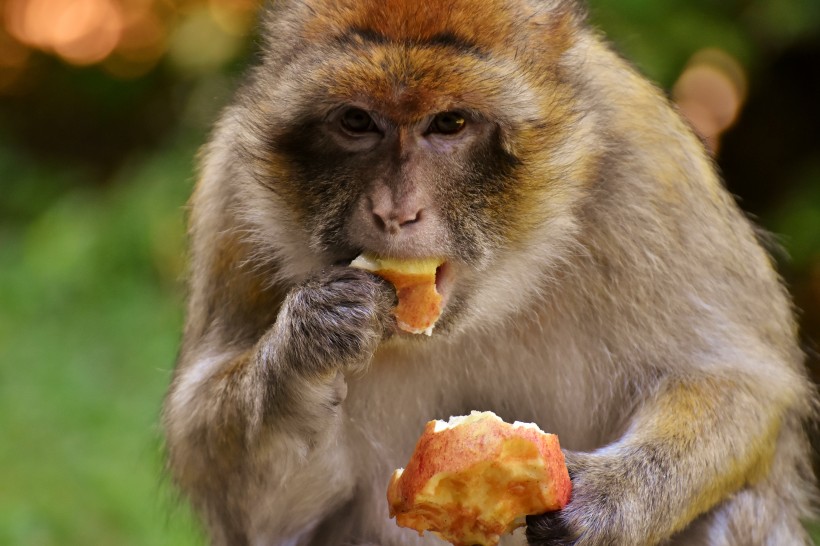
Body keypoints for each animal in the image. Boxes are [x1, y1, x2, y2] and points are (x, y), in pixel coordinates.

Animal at [162, 0, 817, 544]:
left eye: (449, 124)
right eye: (356, 121)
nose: (394, 211)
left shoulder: (651, 162)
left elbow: (740, 381)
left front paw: (606, 500)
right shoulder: (231, 194)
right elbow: (251, 506)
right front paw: (309, 339)